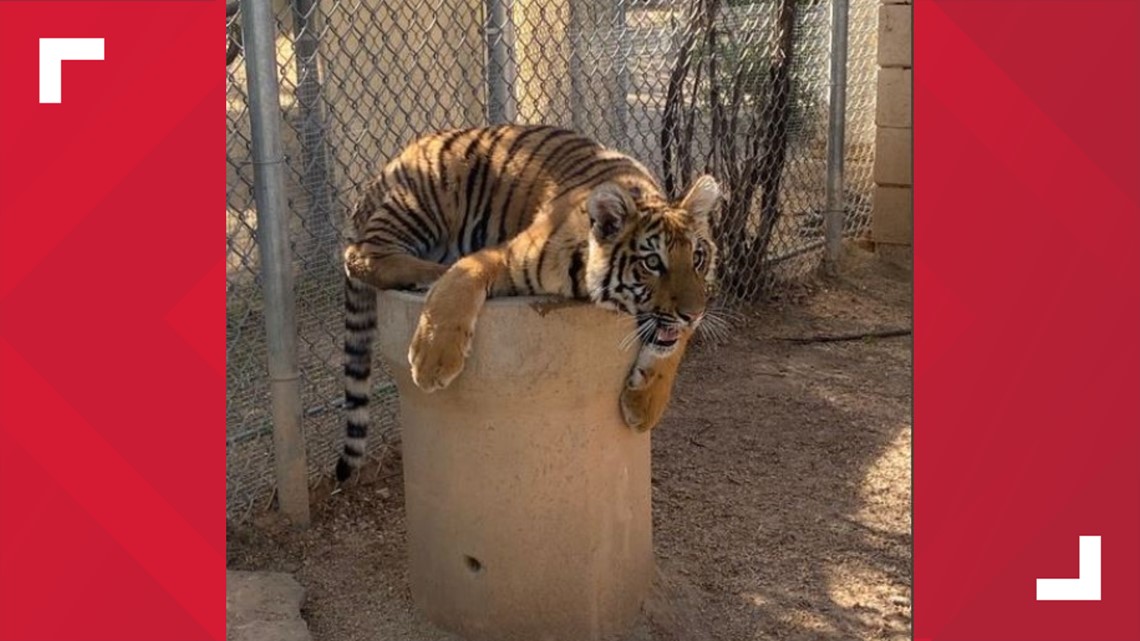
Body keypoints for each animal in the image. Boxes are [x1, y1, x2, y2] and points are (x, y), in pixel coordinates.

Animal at [337, 124, 720, 481]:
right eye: (652, 263)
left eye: (698, 258)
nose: (692, 314)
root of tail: (390, 164)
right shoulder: (504, 256)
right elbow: (459, 283)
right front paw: (432, 360)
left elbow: (671, 348)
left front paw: (645, 405)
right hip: (425, 199)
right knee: (359, 255)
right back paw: (433, 271)